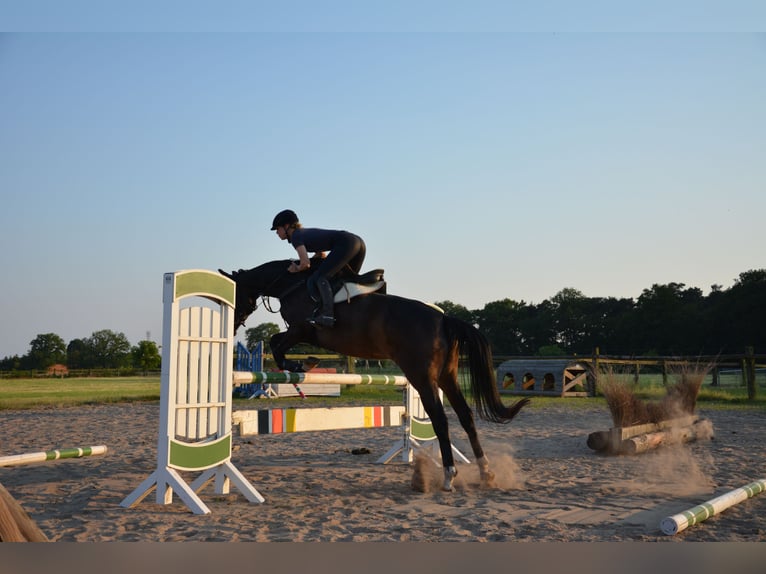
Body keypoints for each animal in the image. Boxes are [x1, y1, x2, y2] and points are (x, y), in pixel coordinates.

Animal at [222, 258, 532, 492]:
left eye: (237, 294)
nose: (233, 325)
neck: (290, 284)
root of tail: (444, 318)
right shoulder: (300, 331)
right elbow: (277, 344)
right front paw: (305, 364)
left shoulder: (302, 329)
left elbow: (276, 344)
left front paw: (304, 364)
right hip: (447, 377)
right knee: (466, 416)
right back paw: (486, 473)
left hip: (421, 377)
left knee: (440, 420)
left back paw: (448, 476)